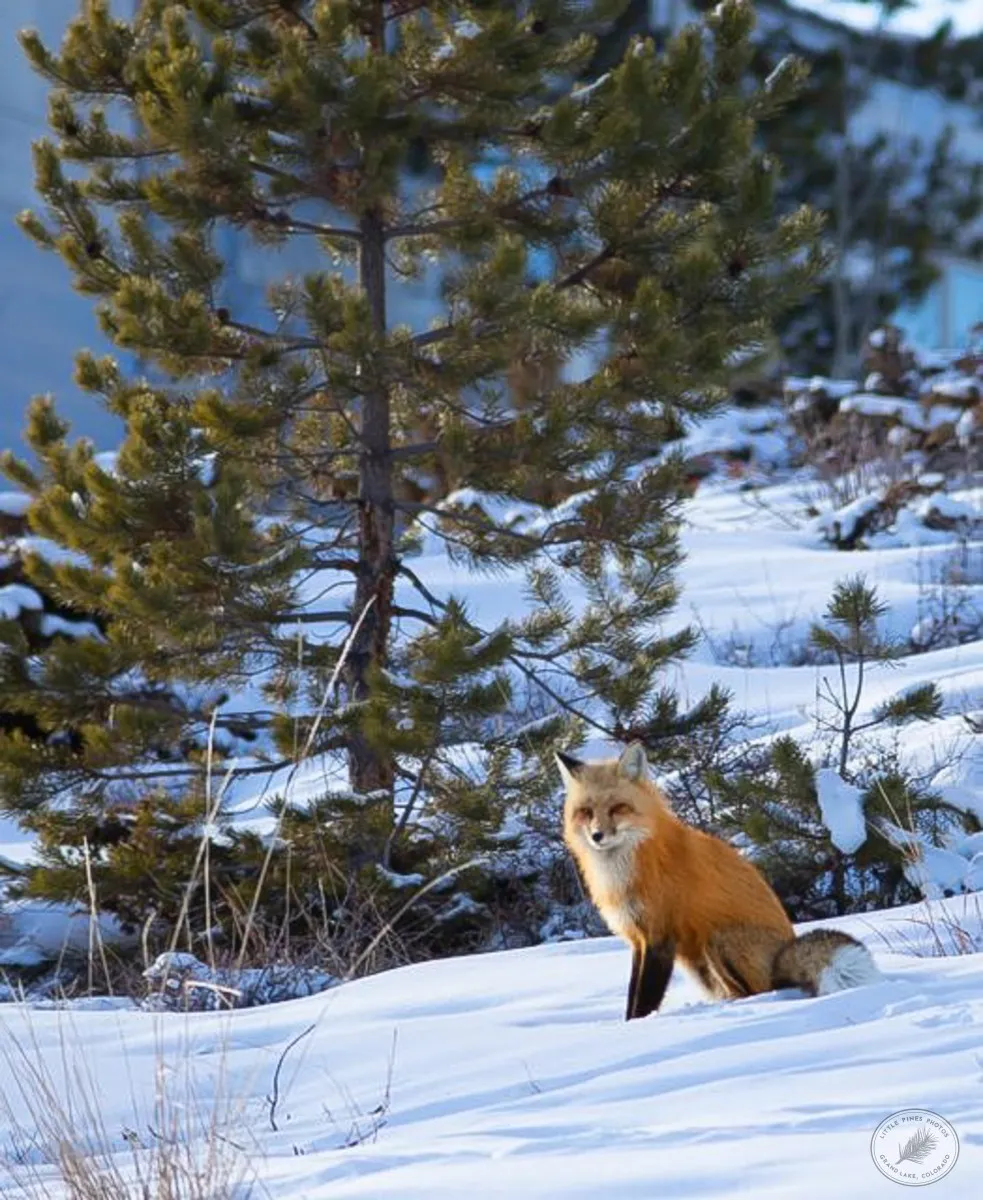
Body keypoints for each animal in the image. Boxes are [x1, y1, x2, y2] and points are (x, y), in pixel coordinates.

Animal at [558, 742, 880, 1020]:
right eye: (586, 812)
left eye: (617, 808)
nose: (597, 835)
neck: (628, 866)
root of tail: (785, 949)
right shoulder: (638, 938)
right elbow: (631, 997)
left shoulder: (659, 936)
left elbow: (642, 1002)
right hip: (698, 963)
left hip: (716, 940)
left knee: (762, 990)